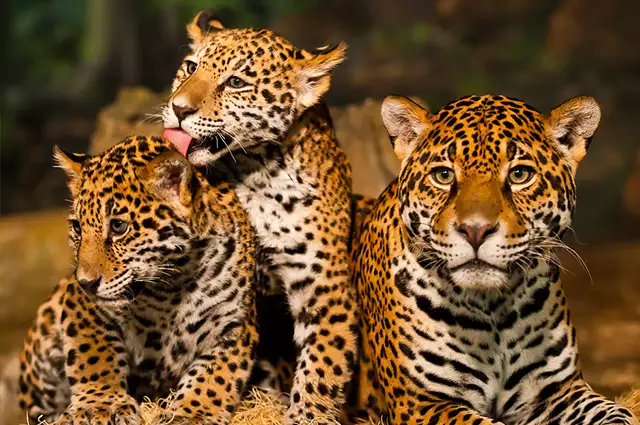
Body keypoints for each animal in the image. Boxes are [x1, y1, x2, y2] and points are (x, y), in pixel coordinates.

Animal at [18, 136, 258, 425]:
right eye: (77, 228)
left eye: (119, 227)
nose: (86, 283)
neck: (173, 285)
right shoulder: (82, 307)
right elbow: (94, 354)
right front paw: (100, 405)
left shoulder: (234, 324)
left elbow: (215, 376)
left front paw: (192, 413)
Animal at [161, 9, 361, 424]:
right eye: (190, 67)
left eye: (236, 82)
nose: (179, 108)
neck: (254, 172)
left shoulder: (326, 287)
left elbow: (322, 368)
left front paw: (306, 414)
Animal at [348, 94, 639, 425]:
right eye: (443, 175)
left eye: (519, 175)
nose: (475, 230)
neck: (494, 309)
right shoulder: (421, 403)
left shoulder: (558, 390)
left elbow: (617, 413)